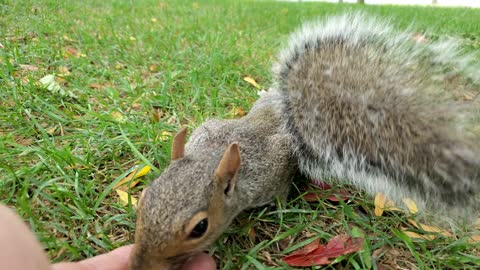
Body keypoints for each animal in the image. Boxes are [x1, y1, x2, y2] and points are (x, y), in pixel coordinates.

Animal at [128, 13, 480, 270]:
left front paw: (281, 210)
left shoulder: (275, 163)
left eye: (199, 228)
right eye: (144, 198)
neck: (215, 155)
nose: (139, 266)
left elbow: (282, 186)